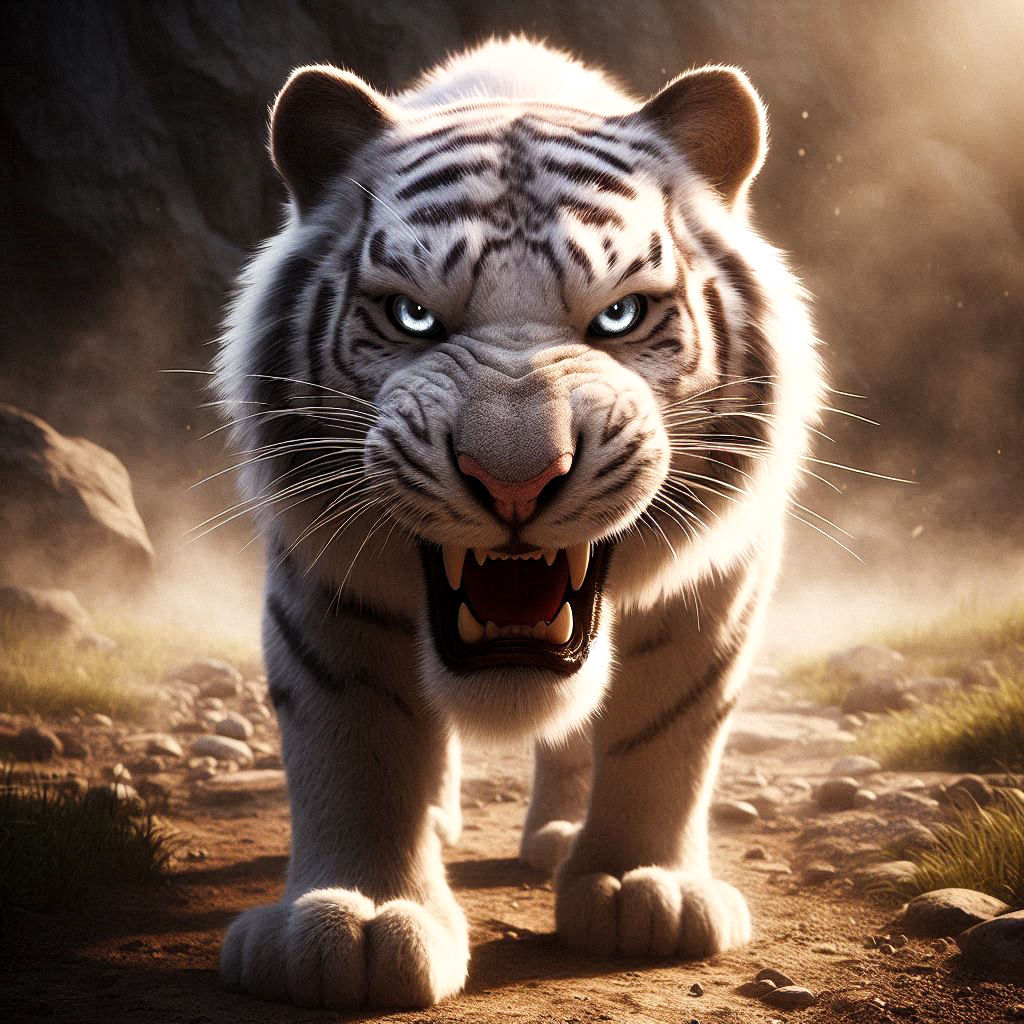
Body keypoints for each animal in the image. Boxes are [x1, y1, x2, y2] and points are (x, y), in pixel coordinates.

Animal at [214, 36, 822, 1010]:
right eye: (412, 315)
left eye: (620, 314)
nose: (515, 476)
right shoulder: (325, 579)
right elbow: (356, 742)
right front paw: (359, 918)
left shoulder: (719, 584)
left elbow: (667, 731)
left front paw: (645, 886)